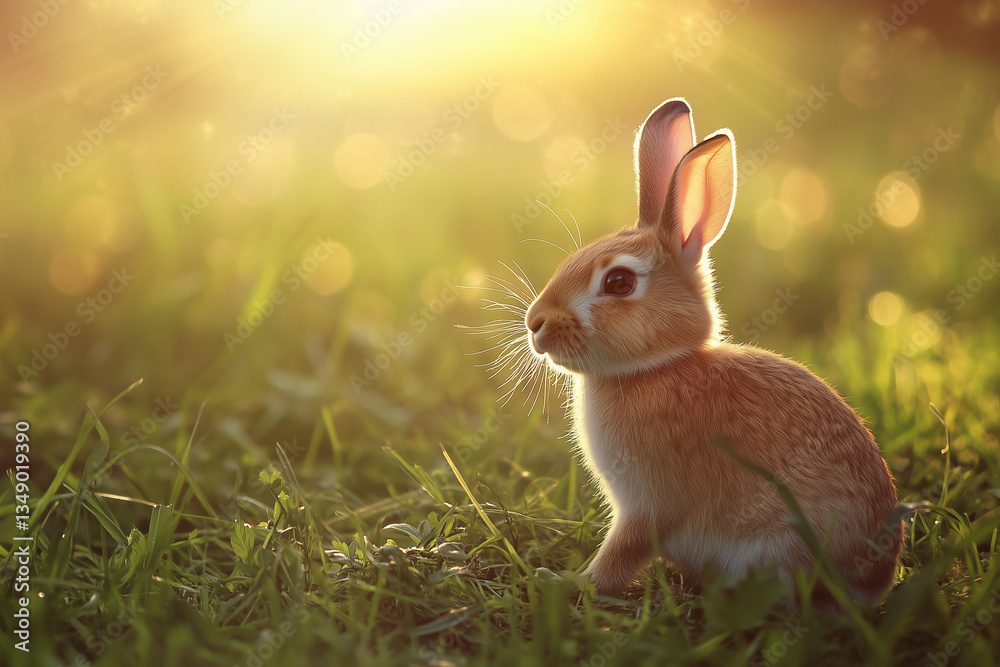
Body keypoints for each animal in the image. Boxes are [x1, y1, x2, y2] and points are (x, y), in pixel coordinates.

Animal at [524, 98, 902, 608]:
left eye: (619, 282)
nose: (535, 324)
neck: (656, 369)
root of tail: (874, 581)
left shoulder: (651, 504)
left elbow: (622, 553)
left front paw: (564, 583)